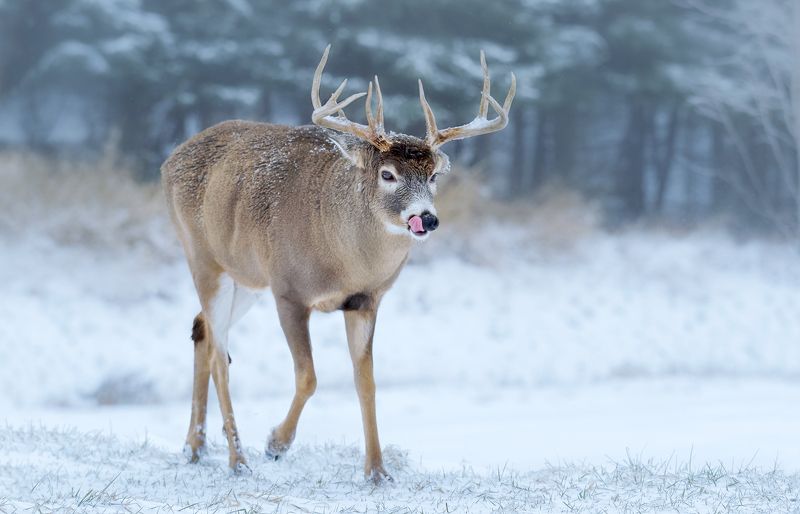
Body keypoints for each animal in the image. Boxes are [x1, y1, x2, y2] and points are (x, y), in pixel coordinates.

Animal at [161, 45, 515, 483]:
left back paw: (194, 447)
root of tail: (170, 159)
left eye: (433, 176)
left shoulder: (366, 299)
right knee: (219, 353)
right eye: (387, 174)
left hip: (246, 277)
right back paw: (237, 459)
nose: (426, 218)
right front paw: (276, 443)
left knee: (202, 330)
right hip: (203, 257)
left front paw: (377, 471)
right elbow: (308, 377)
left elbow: (366, 382)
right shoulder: (288, 290)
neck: (343, 260)